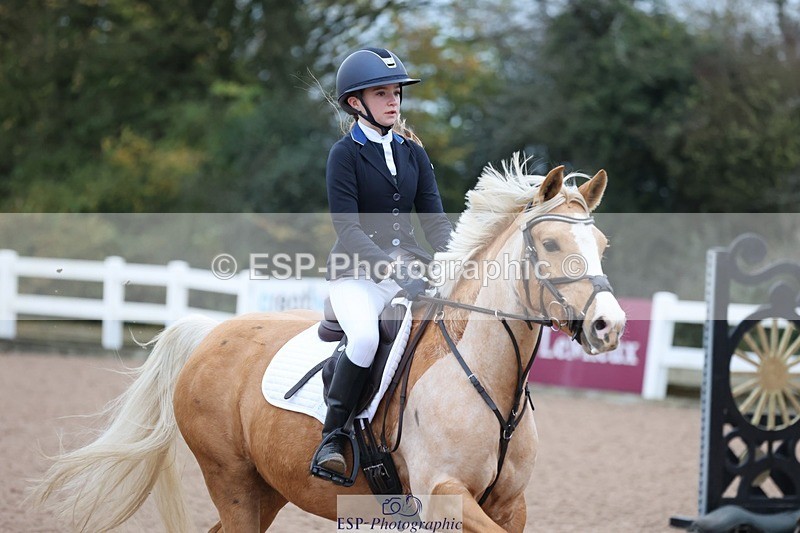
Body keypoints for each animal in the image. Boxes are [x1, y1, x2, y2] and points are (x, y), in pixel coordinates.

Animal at [31, 157, 627, 532]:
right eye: (550, 243)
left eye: (601, 243)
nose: (610, 326)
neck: (486, 376)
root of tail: (213, 333)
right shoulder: (444, 493)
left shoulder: (509, 505)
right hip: (231, 479)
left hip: (268, 488)